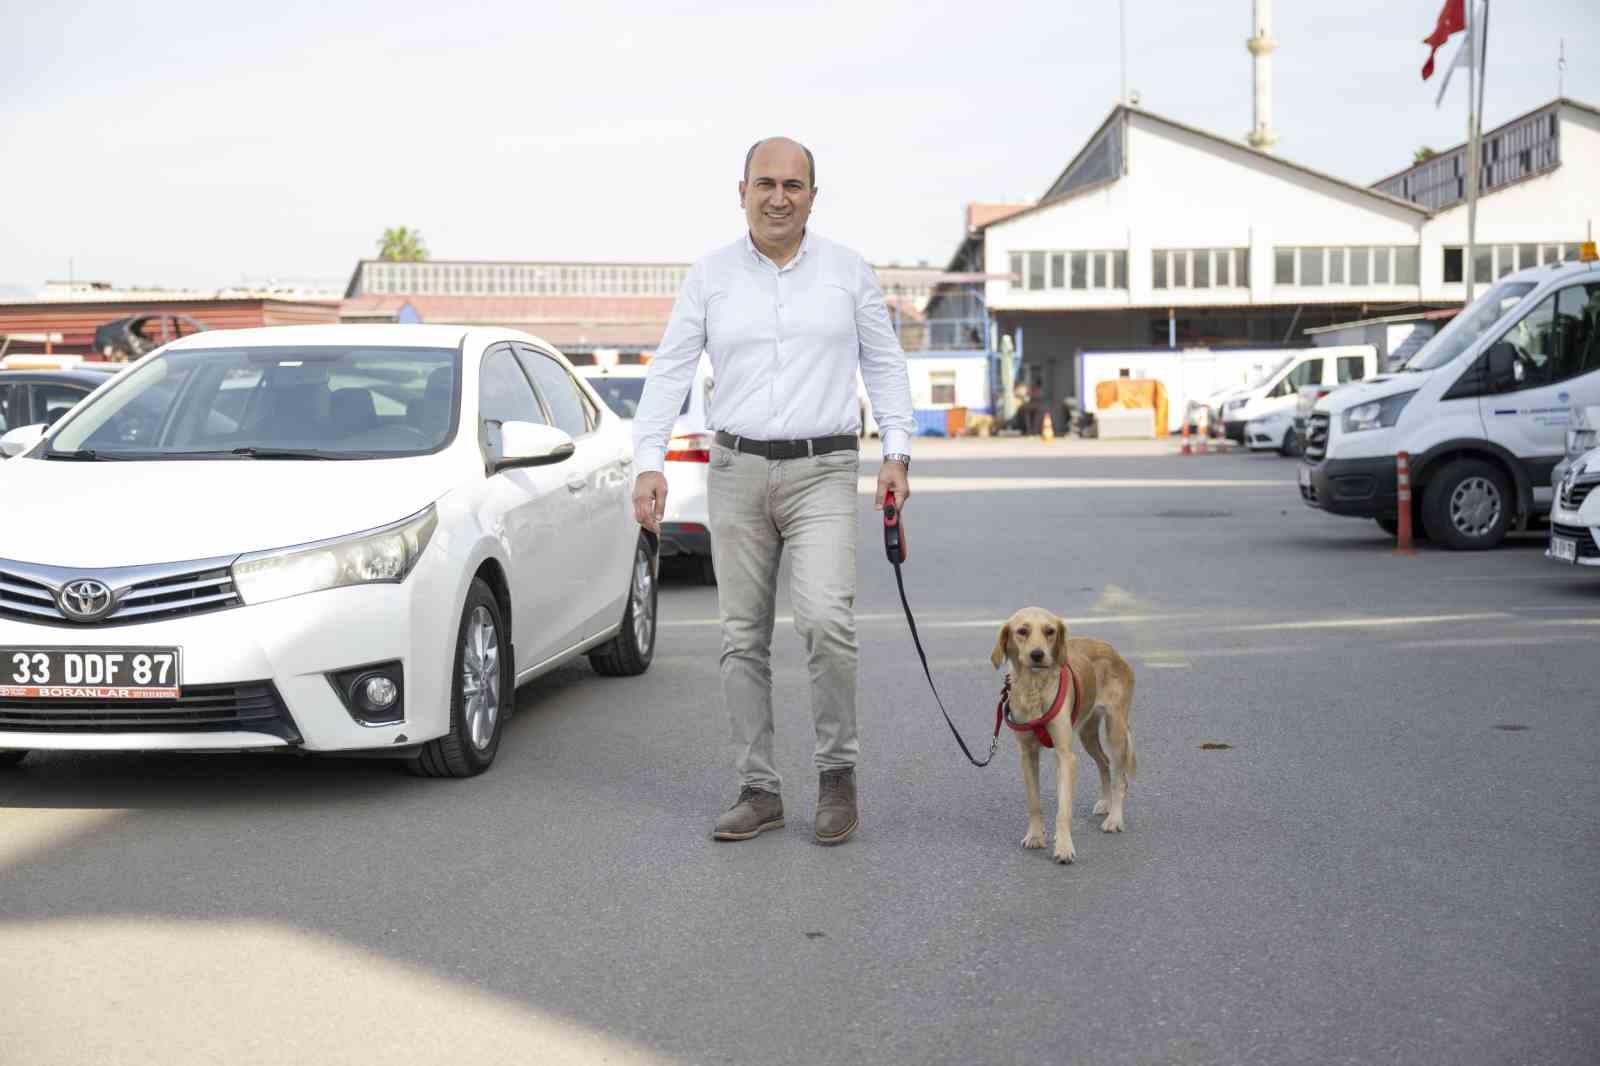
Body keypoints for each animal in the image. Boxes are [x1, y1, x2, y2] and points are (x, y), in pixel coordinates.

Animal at [985, 605, 1139, 864]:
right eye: (1022, 631)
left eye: (1050, 631)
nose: (1038, 654)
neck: (1035, 689)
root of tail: (1110, 649)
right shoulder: (1027, 754)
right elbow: (1034, 803)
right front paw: (1036, 836)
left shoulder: (1065, 756)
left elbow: (1063, 810)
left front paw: (1064, 847)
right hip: (1087, 734)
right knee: (1104, 763)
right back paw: (1106, 803)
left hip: (1115, 731)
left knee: (1120, 777)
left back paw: (1115, 818)